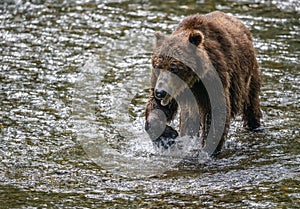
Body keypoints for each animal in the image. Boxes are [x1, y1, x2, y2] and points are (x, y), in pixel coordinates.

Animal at [144, 11, 262, 155]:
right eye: (158, 65)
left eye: (174, 68)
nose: (160, 92)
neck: (192, 80)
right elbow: (157, 107)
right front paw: (167, 137)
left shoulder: (213, 81)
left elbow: (217, 111)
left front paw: (207, 149)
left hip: (248, 78)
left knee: (251, 104)